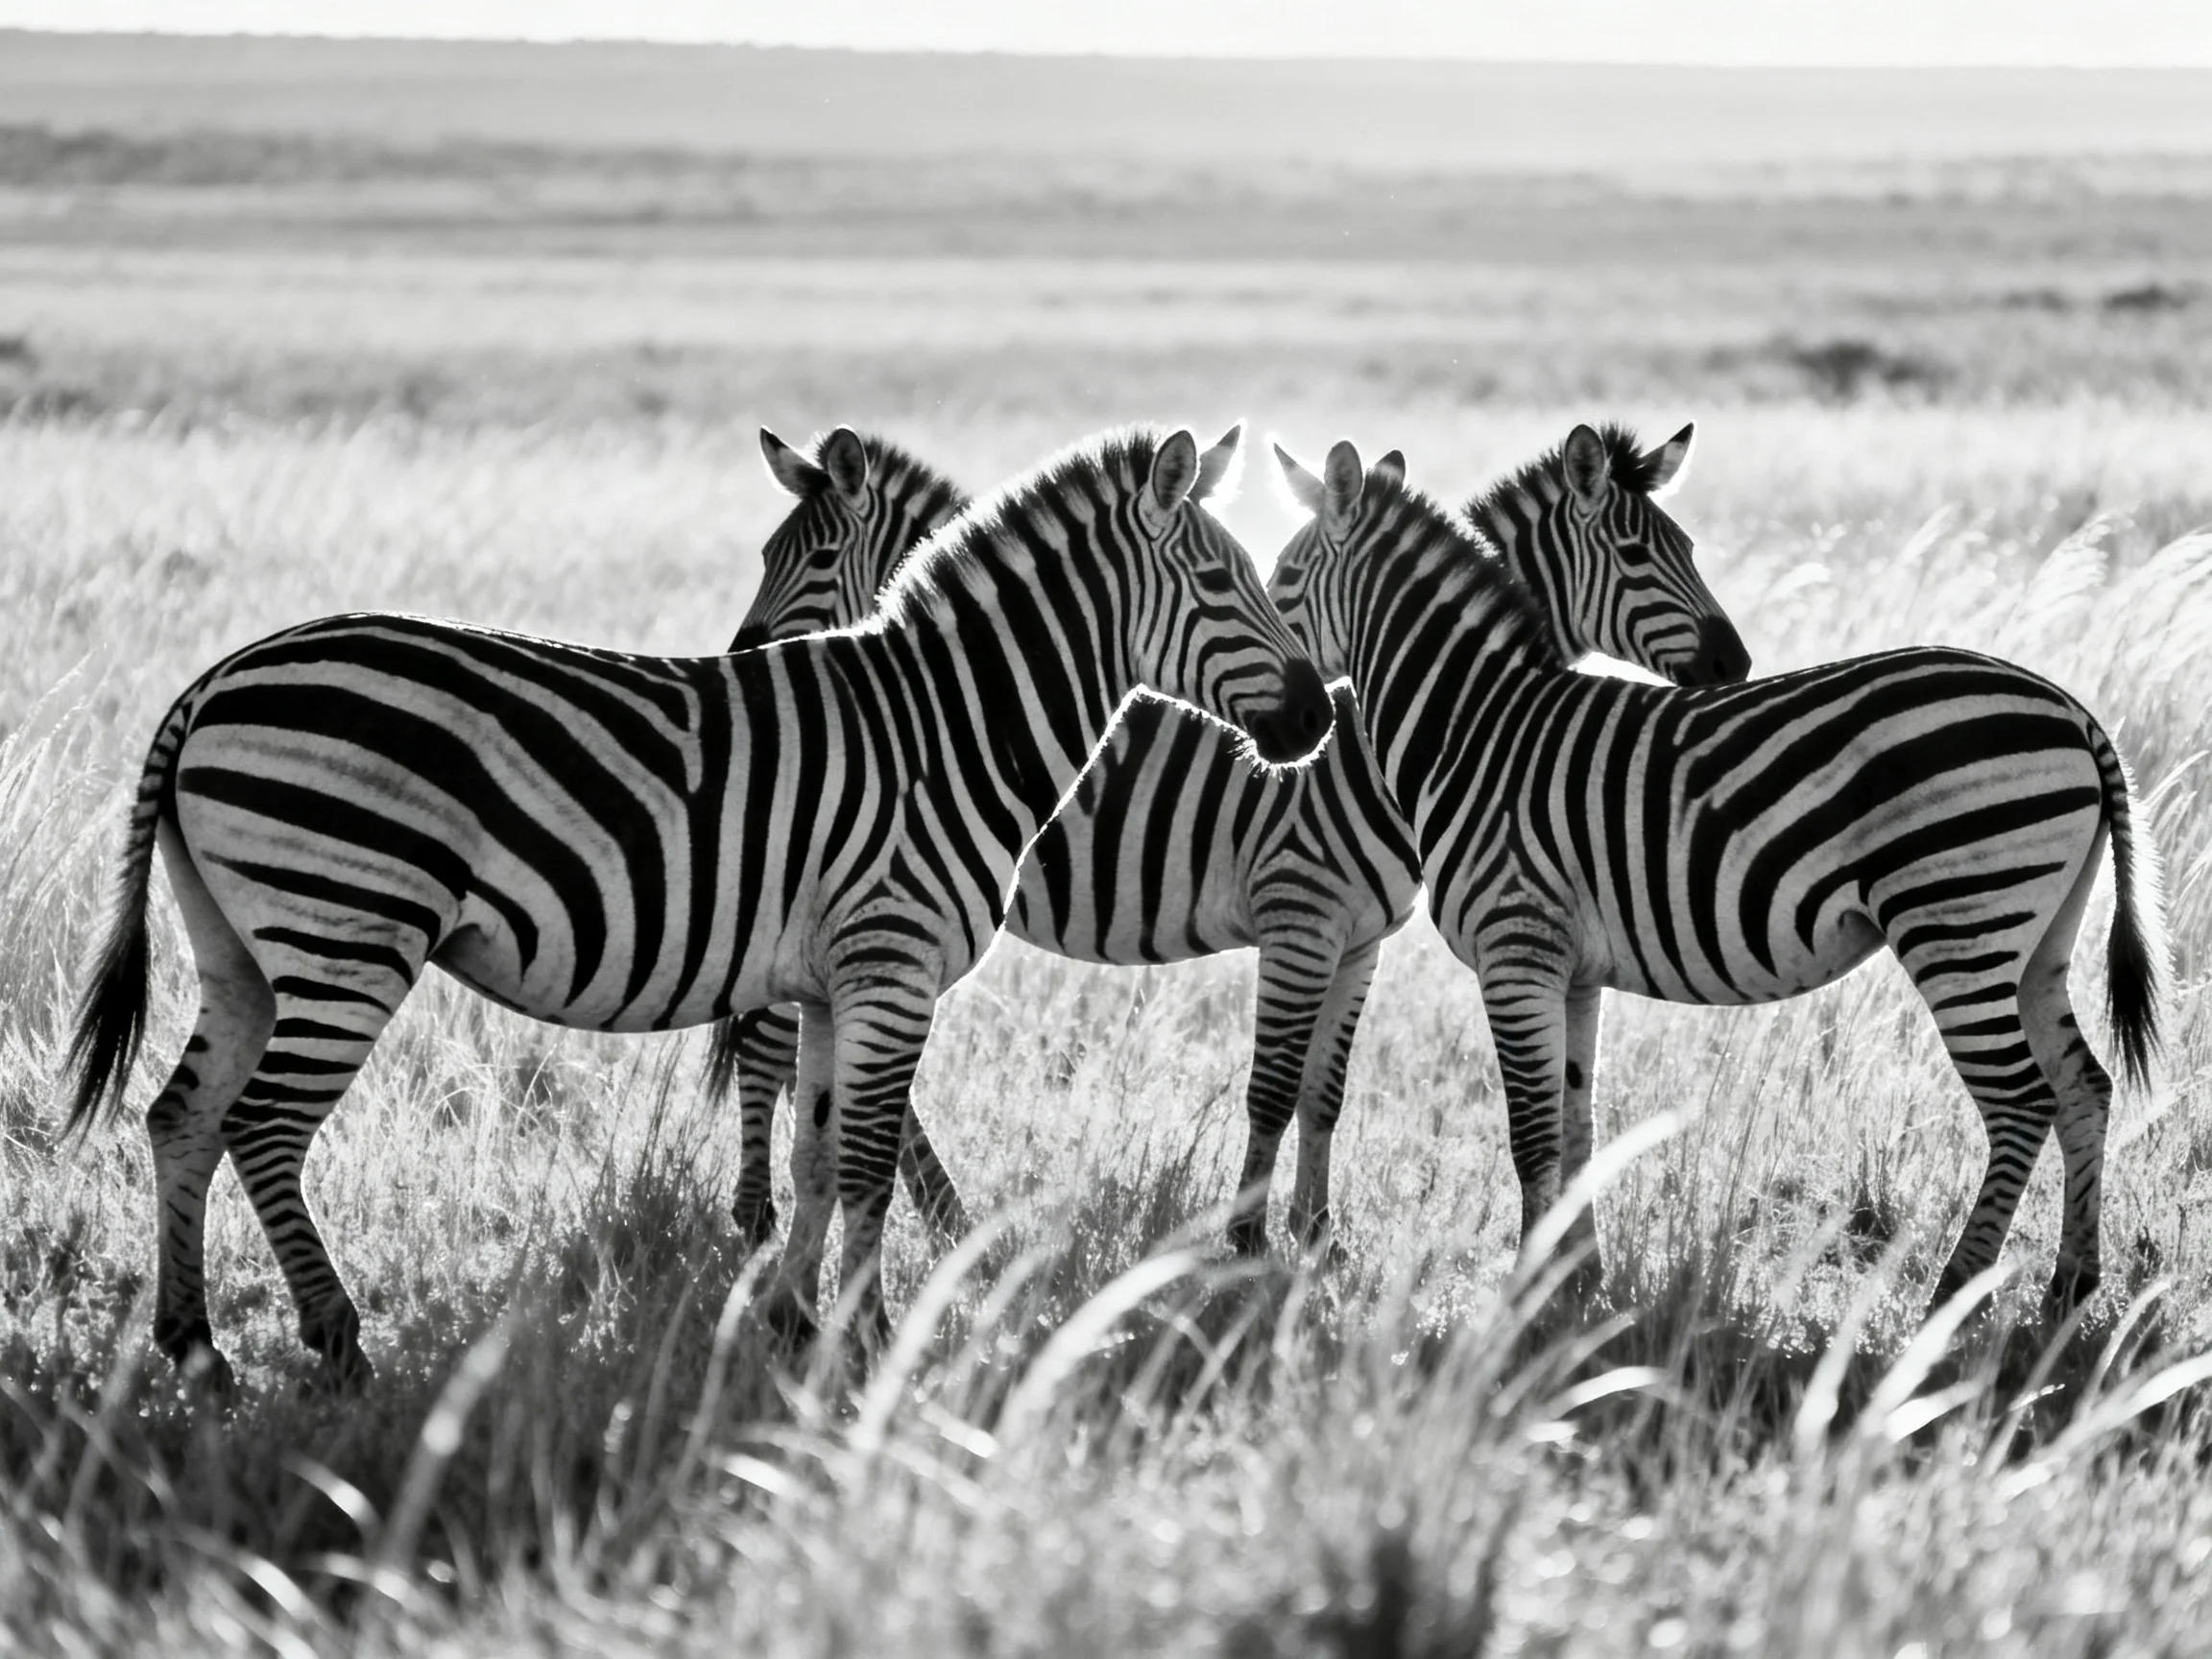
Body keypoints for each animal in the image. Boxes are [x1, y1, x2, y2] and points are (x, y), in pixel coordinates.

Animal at [63, 424, 1333, 1385]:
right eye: (1221, 583)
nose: (1323, 716)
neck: (950, 727)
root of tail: (212, 681)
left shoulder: (831, 978)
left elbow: (820, 1155)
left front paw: (795, 1322)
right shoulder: (892, 961)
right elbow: (868, 1163)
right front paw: (868, 1339)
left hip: (243, 945)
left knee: (181, 1116)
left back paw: (196, 1347)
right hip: (348, 929)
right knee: (263, 1127)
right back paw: (337, 1345)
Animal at [713, 421, 1750, 1259]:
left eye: (1683, 548)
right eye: (1639, 554)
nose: (1735, 663)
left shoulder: (1359, 937)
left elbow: (1324, 1092)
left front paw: (1319, 1238)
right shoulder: (1299, 911)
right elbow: (1275, 1088)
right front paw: (1251, 1247)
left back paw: (935, 1217)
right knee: (770, 1045)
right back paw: (766, 1220)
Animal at [1266, 437, 2164, 1318]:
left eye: (1279, 583)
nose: (1298, 719)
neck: (1477, 726)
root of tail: (2076, 713)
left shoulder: (1515, 945)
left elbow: (1532, 1134)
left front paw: (1524, 1295)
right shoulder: (1570, 967)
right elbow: (1577, 1121)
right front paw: (1577, 1281)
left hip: (1957, 923)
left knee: (2021, 1102)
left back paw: (1954, 1295)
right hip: (2036, 940)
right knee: (2084, 1086)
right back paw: (2070, 1288)